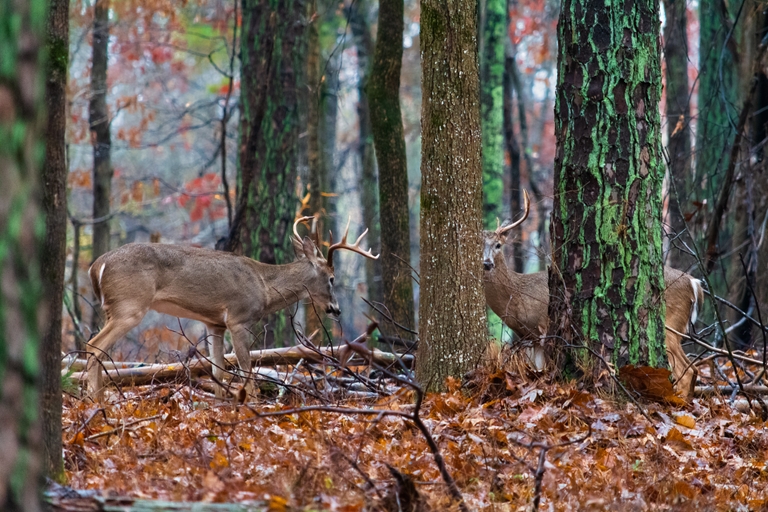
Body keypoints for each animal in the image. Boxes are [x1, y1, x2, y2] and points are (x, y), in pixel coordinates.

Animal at [85, 216, 379, 401]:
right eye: (332, 278)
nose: (335, 309)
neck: (263, 286)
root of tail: (96, 266)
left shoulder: (214, 323)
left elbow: (218, 372)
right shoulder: (239, 318)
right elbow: (247, 375)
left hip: (113, 308)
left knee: (98, 349)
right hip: (130, 305)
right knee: (94, 346)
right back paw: (94, 401)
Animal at [483, 191, 703, 398]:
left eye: (498, 245)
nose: (486, 263)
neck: (517, 295)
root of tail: (694, 282)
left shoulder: (544, 326)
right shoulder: (529, 337)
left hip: (670, 325)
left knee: (687, 370)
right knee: (692, 369)